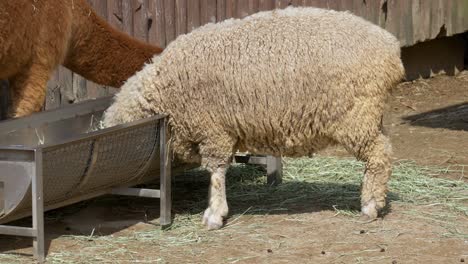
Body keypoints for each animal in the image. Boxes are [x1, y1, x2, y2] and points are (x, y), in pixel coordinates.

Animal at [103, 6, 406, 229]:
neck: (165, 89)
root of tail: (391, 47)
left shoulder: (213, 129)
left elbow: (216, 171)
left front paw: (214, 214)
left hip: (357, 116)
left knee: (379, 155)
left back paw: (370, 206)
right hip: (370, 117)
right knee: (381, 154)